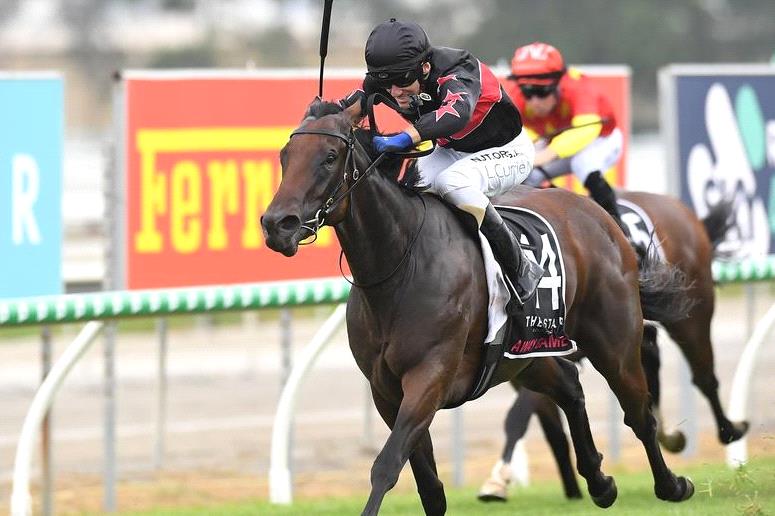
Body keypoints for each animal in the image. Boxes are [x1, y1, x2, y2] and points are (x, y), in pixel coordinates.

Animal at [260, 99, 696, 512]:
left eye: (330, 156)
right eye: (285, 155)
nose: (277, 224)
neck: (401, 263)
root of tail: (599, 215)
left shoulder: (429, 378)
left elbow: (386, 465)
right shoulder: (385, 390)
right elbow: (429, 485)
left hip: (614, 340)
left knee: (638, 412)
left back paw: (672, 484)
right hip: (527, 353)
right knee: (570, 386)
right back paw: (600, 482)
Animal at [476, 191, 748, 502]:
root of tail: (678, 207)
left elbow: (520, 417)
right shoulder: (523, 360)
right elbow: (547, 428)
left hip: (690, 311)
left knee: (703, 376)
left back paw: (728, 430)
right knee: (651, 356)